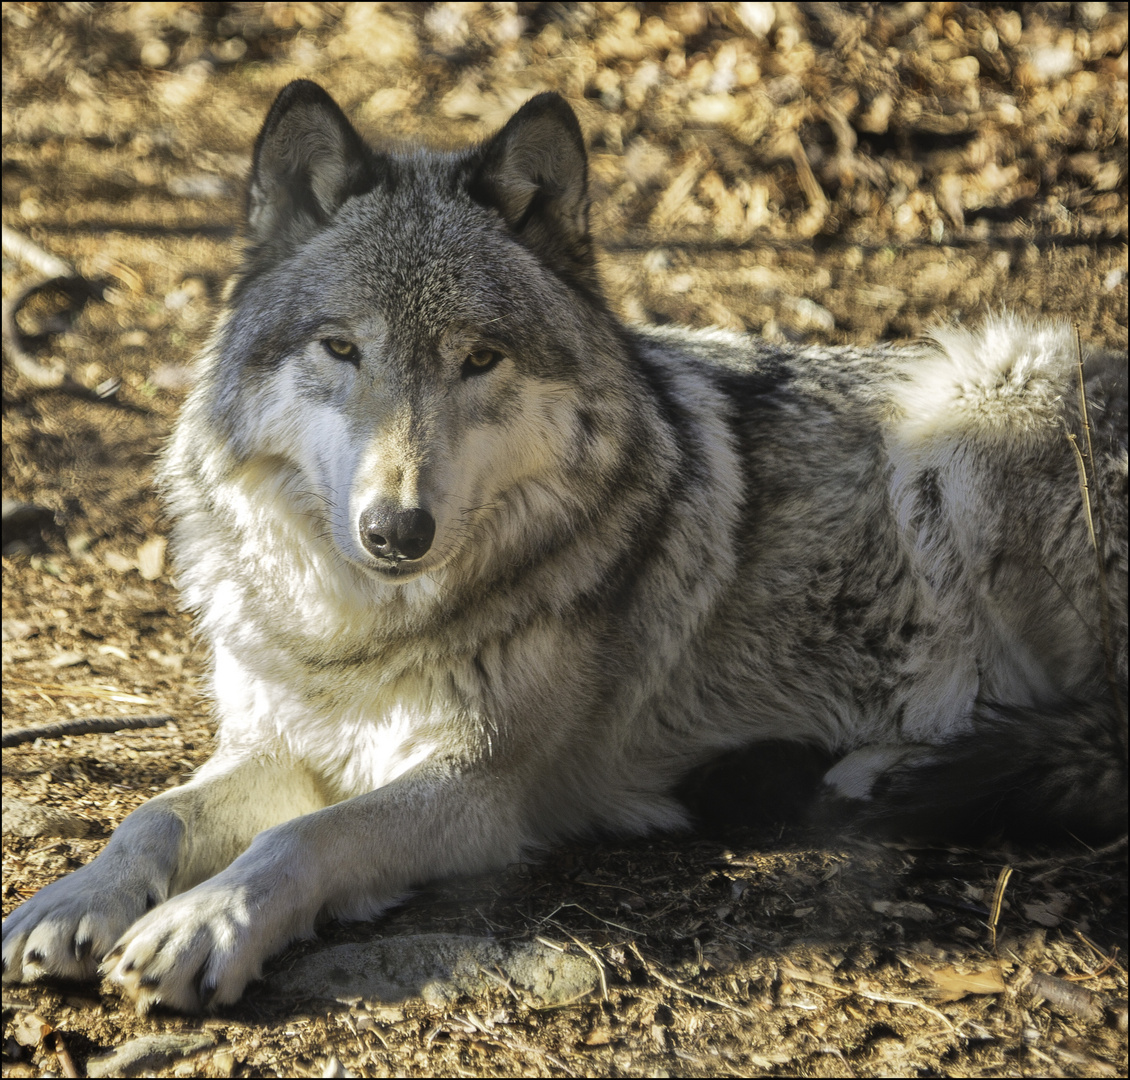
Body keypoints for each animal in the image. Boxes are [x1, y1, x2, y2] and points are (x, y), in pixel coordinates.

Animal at [4, 82, 1125, 1012]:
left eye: (479, 359)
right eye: (342, 349)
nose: (395, 529)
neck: (358, 632)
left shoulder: (481, 788)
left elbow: (306, 837)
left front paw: (203, 924)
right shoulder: (278, 742)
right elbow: (153, 816)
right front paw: (75, 900)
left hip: (977, 404)